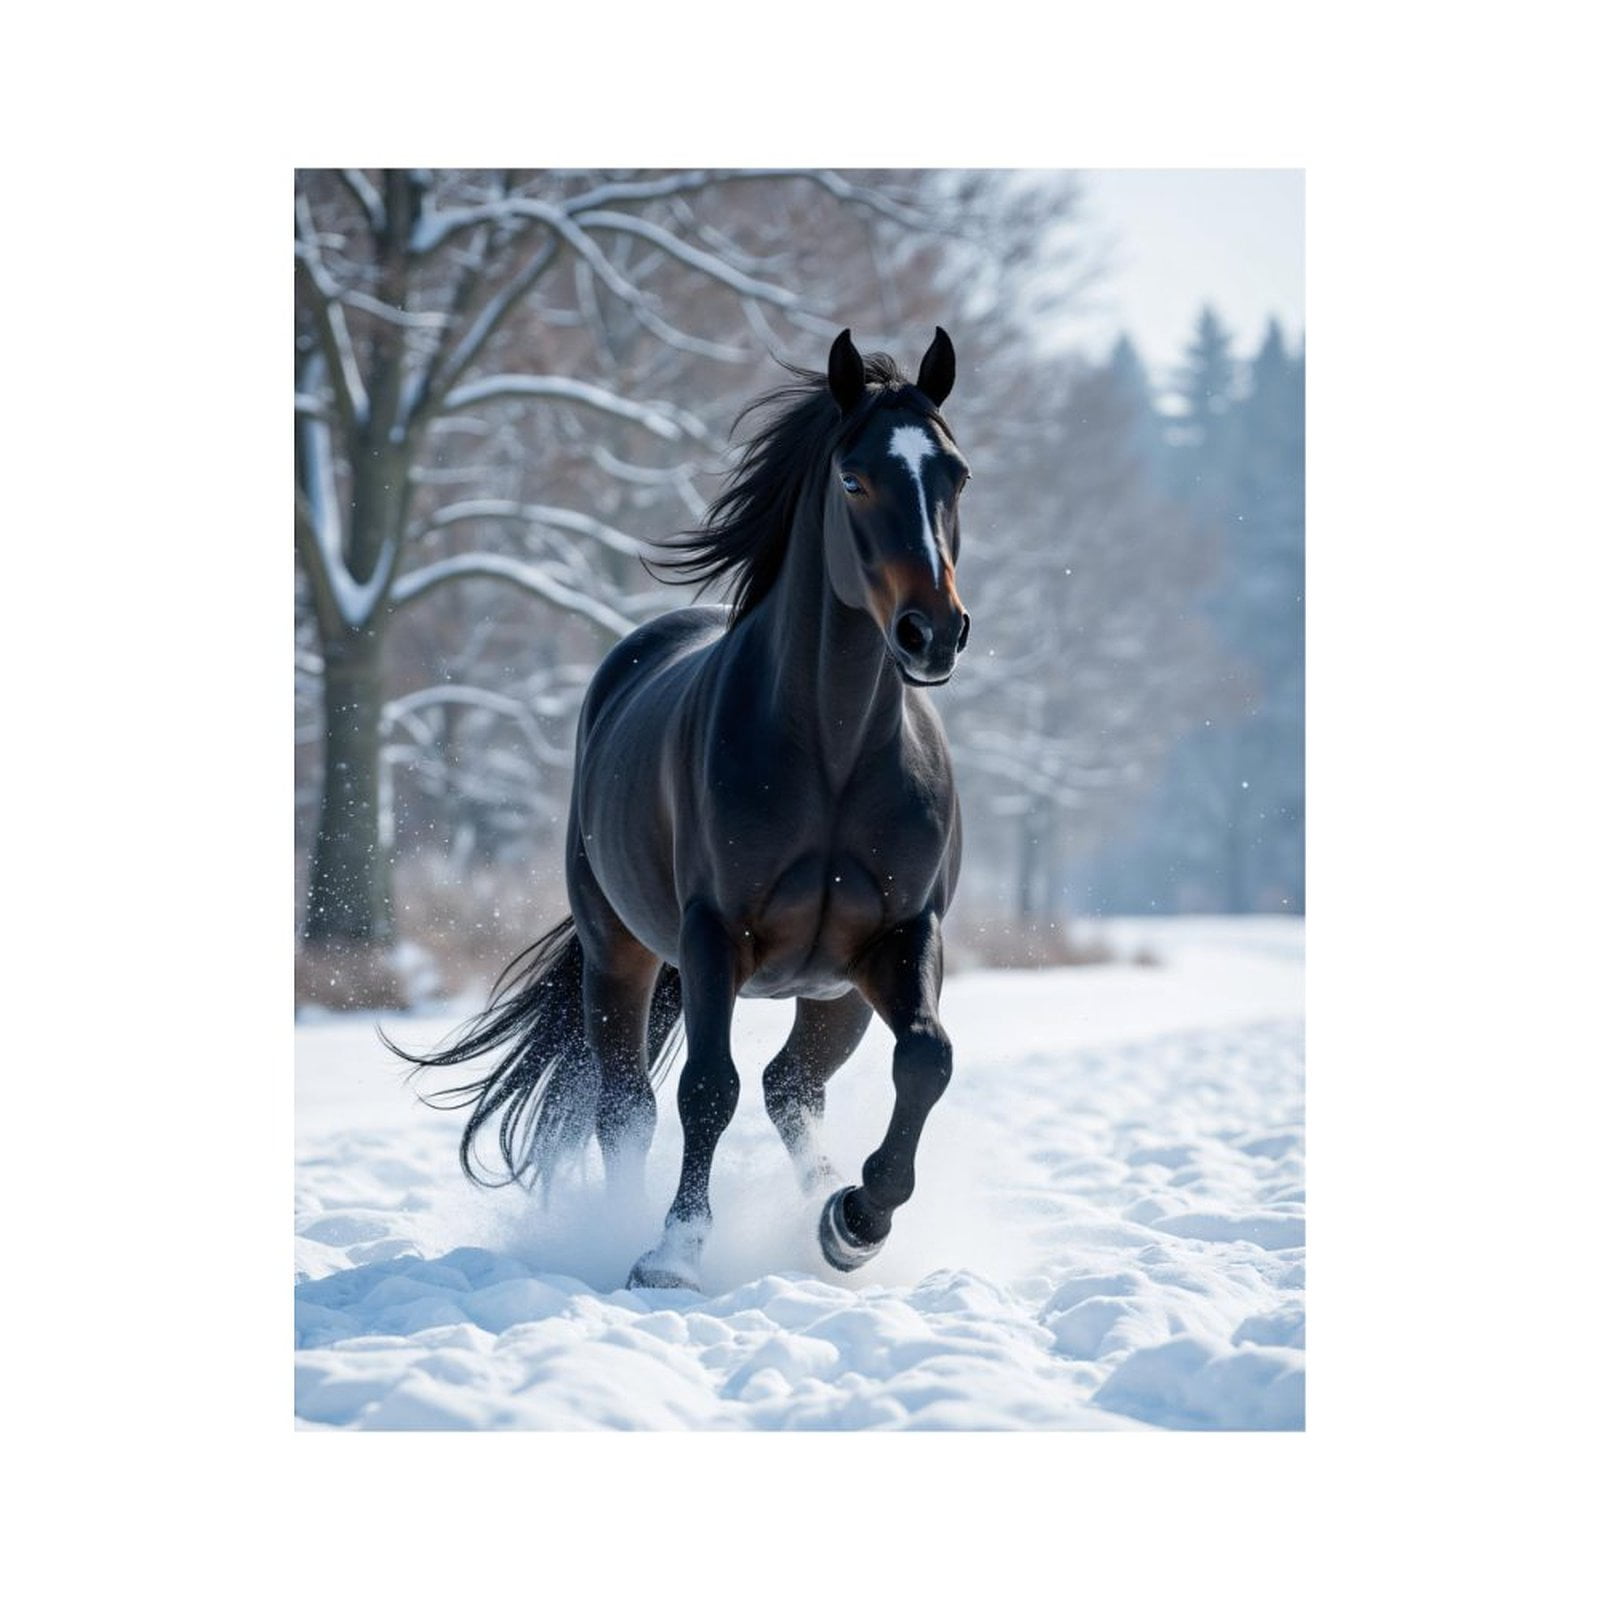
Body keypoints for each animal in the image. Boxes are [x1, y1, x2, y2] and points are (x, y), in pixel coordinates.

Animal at [393, 328, 973, 1291]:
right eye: (855, 479)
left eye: (956, 475)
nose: (933, 633)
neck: (834, 757)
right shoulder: (713, 936)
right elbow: (707, 1088)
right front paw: (672, 1253)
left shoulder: (901, 935)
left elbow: (926, 1059)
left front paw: (856, 1221)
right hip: (618, 954)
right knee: (629, 1104)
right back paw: (626, 1225)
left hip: (834, 991)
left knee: (791, 1086)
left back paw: (824, 1202)